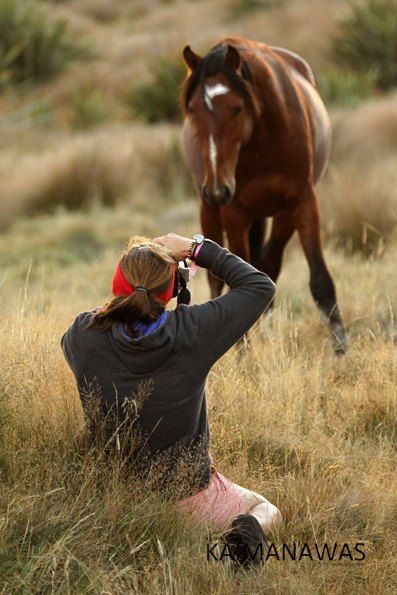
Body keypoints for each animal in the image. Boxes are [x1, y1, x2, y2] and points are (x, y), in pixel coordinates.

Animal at [181, 37, 344, 354]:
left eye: (236, 108)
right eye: (193, 109)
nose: (217, 188)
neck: (263, 140)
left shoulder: (302, 202)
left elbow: (320, 279)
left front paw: (341, 351)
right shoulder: (234, 212)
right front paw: (244, 356)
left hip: (279, 215)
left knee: (268, 264)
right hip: (211, 211)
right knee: (216, 280)